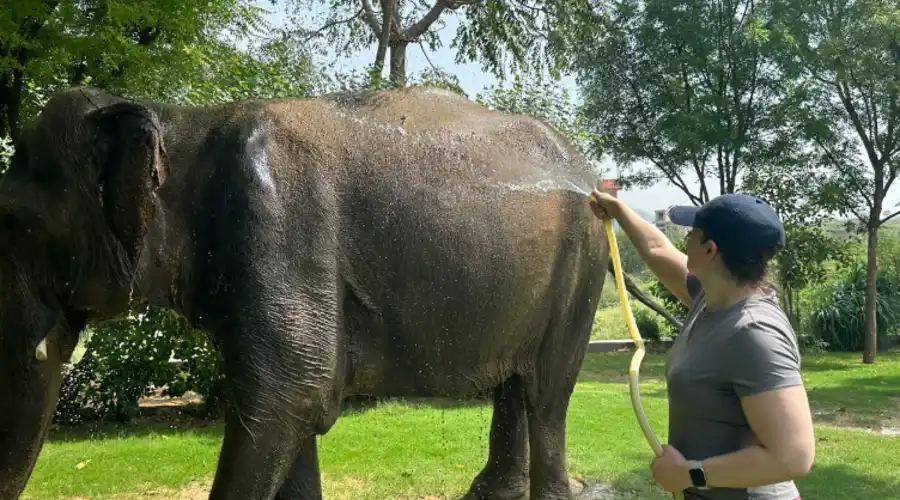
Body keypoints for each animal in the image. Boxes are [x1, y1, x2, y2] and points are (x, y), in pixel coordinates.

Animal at [0, 85, 611, 500]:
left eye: (15, 224)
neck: (179, 123)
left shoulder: (276, 229)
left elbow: (288, 399)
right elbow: (295, 406)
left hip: (582, 266)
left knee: (546, 392)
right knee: (516, 383)